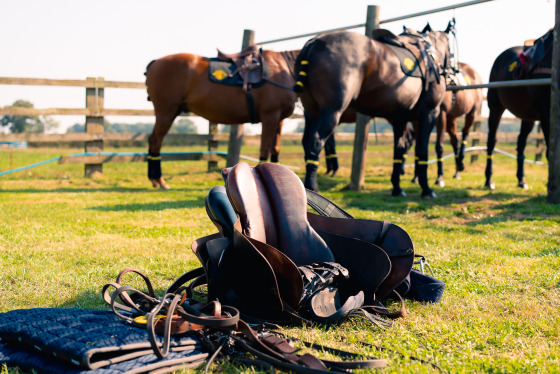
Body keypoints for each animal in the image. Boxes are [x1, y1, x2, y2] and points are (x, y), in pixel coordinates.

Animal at [145, 48, 302, 188]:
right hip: (166, 112)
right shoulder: (270, 116)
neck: (284, 69)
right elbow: (264, 149)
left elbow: (275, 149)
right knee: (155, 141)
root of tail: (155, 62)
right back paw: (159, 180)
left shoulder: (279, 120)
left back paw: (154, 179)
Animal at [296, 22, 452, 199]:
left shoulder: (400, 118)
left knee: (307, 142)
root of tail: (314, 42)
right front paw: (426, 189)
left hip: (312, 112)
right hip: (332, 112)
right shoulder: (429, 112)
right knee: (316, 142)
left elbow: (399, 149)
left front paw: (397, 187)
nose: (453, 72)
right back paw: (312, 186)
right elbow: (422, 150)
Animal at [486, 28, 552, 190]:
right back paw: (489, 181)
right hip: (495, 108)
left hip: (528, 117)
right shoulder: (546, 115)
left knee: (521, 143)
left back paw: (521, 180)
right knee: (491, 142)